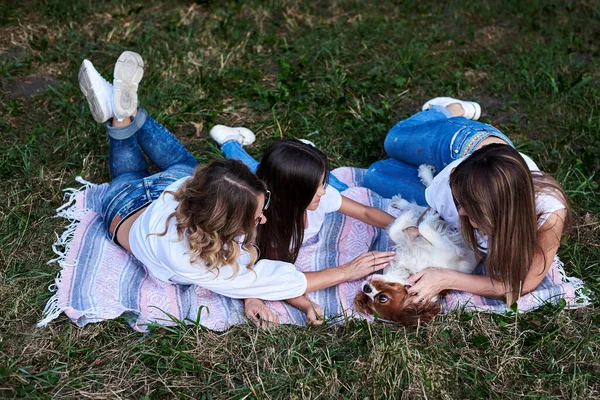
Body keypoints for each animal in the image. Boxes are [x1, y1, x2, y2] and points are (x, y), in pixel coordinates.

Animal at [354, 165, 476, 324]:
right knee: (425, 201)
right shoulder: (451, 250)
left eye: (382, 298)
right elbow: (422, 226)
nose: (366, 288)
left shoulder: (413, 240)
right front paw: (422, 215)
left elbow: (398, 230)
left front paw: (412, 216)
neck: (411, 269)